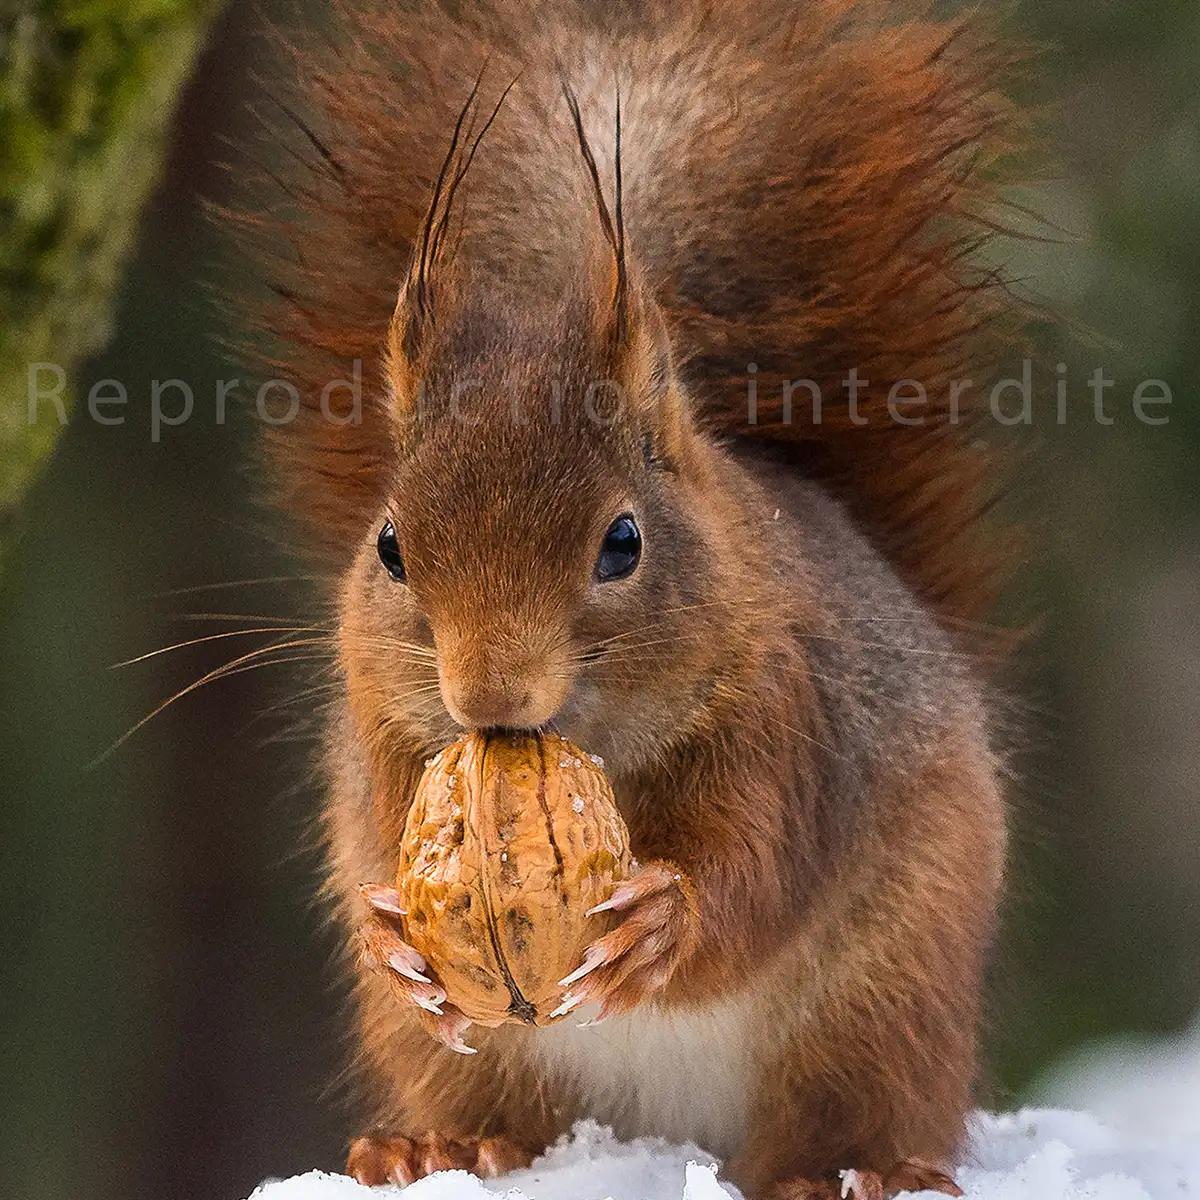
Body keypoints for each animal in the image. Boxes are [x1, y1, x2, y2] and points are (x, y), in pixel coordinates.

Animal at [229, 1, 1019, 1197]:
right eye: (391, 547)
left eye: (623, 543)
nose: (487, 697)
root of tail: (673, 1136)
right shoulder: (384, 744)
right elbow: (380, 851)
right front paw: (393, 934)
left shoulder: (789, 720)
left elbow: (755, 875)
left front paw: (660, 922)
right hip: (455, 1058)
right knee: (491, 1104)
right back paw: (438, 1146)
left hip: (887, 997)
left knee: (853, 1102)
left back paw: (855, 1170)